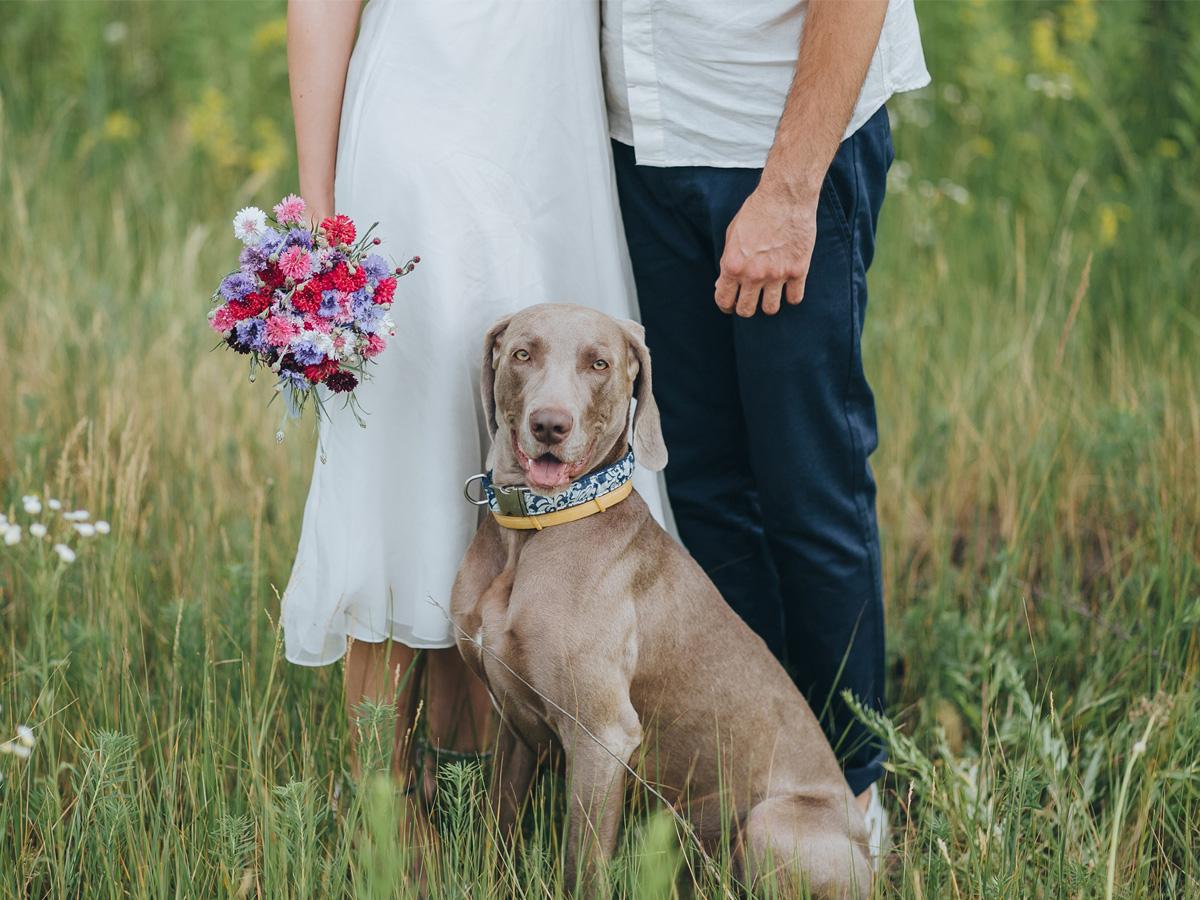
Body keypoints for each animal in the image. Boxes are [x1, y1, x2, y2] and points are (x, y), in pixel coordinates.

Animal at [451, 304, 873, 900]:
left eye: (599, 364)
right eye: (522, 353)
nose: (550, 425)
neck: (537, 527)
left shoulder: (603, 736)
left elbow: (581, 867)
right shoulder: (513, 725)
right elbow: (499, 828)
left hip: (770, 824)